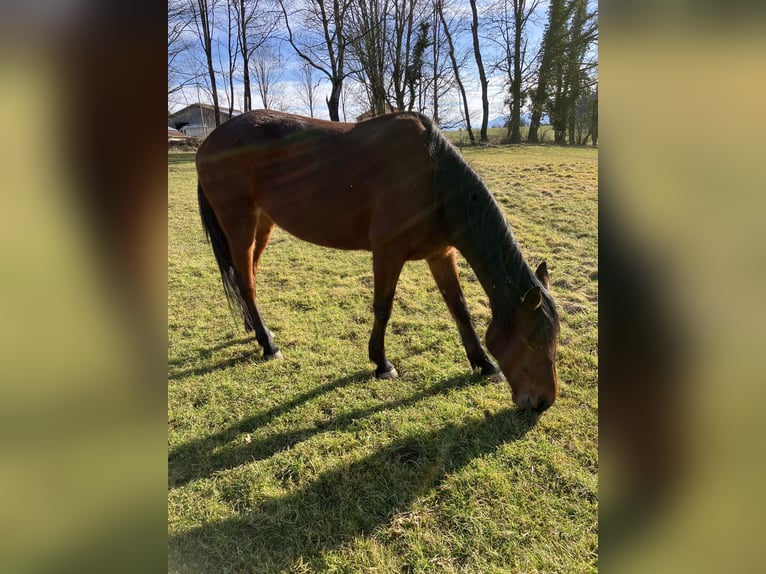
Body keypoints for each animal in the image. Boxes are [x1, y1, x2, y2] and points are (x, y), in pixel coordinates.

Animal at [195, 109, 560, 414]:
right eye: (534, 341)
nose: (543, 402)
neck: (433, 178)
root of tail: (207, 143)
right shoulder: (388, 252)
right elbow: (383, 308)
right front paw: (382, 363)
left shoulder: (440, 253)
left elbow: (459, 308)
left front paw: (484, 363)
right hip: (239, 223)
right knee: (246, 281)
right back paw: (269, 344)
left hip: (262, 224)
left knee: (246, 276)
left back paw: (254, 328)